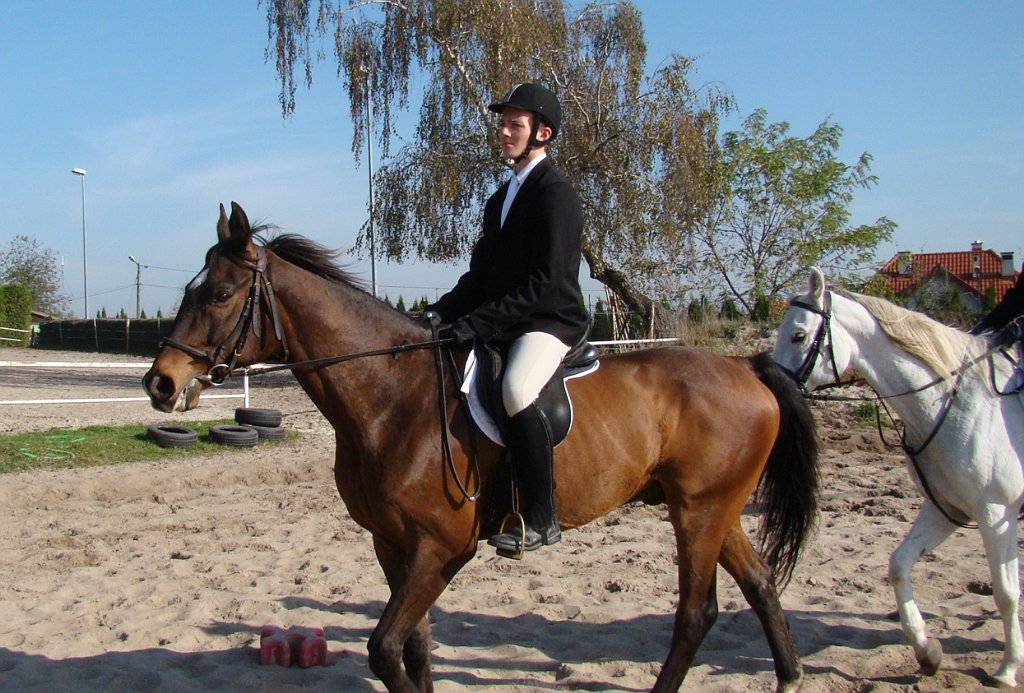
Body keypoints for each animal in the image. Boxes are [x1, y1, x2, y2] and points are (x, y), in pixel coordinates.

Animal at [143, 202, 819, 692]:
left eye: (220, 295)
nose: (161, 384)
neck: (393, 397)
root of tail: (746, 368)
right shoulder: (393, 543)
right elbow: (414, 649)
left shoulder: (442, 548)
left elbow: (384, 650)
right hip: (711, 508)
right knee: (760, 584)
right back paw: (789, 679)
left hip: (700, 510)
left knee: (696, 613)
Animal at [772, 266, 1024, 688]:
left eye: (798, 335)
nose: (773, 389)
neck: (951, 402)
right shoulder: (947, 510)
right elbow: (898, 566)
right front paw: (926, 652)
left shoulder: (995, 513)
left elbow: (1006, 593)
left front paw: (1006, 669)